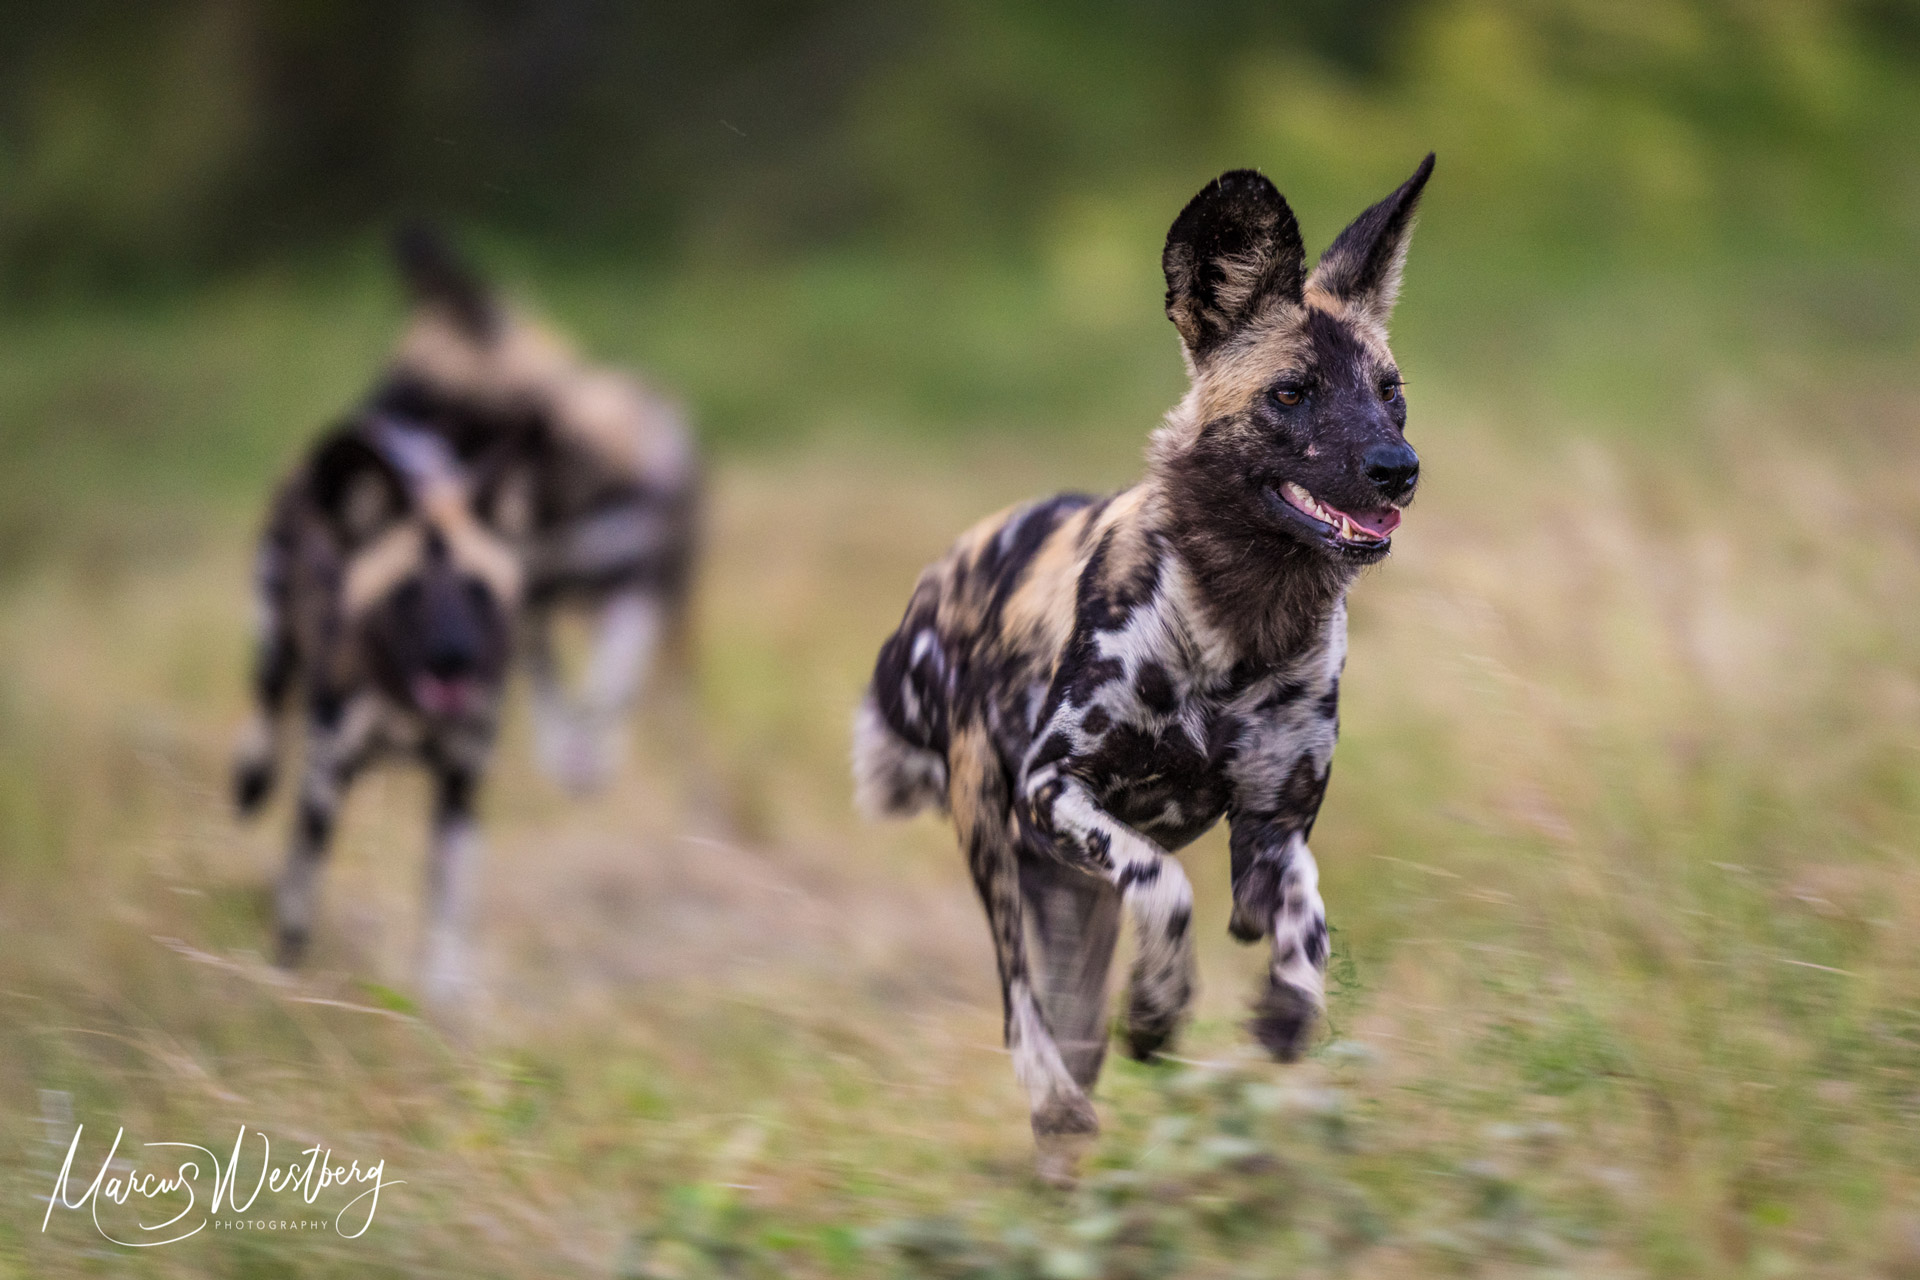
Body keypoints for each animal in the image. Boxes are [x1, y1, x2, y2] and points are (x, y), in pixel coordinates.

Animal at [235, 404, 533, 997]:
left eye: (477, 589)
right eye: (409, 592)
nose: (453, 656)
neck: (408, 705)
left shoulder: (459, 789)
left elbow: (446, 915)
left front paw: (444, 1000)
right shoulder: (324, 781)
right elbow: (299, 897)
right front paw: (285, 982)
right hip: (276, 649)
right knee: (267, 706)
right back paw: (251, 778)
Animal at [368, 229, 698, 790]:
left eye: (412, 391)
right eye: (388, 382)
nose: (355, 439)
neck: (554, 495)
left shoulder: (635, 588)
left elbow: (608, 690)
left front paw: (592, 753)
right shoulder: (528, 603)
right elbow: (552, 700)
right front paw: (566, 756)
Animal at [852, 155, 1428, 1174]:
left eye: (1390, 391)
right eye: (1292, 393)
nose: (1398, 468)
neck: (1240, 620)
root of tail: (944, 574)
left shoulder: (1271, 833)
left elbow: (1304, 918)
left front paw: (1286, 1009)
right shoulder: (1054, 790)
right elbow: (1166, 887)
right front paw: (1159, 1013)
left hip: (1067, 899)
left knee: (1073, 1034)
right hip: (998, 845)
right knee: (1023, 1010)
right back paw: (1056, 1104)